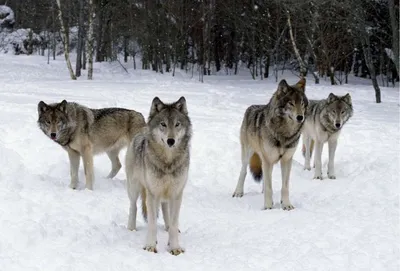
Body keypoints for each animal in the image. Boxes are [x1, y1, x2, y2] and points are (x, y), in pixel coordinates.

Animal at [126, 96, 193, 256]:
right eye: (163, 124)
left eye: (177, 124)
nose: (171, 140)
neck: (167, 162)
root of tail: (142, 130)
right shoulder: (153, 194)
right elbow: (152, 223)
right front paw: (150, 246)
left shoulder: (176, 193)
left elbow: (174, 224)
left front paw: (174, 247)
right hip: (135, 188)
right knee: (133, 206)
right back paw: (131, 228)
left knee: (165, 210)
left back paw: (167, 229)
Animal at [231, 77, 310, 211]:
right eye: (291, 103)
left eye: (302, 104)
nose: (300, 117)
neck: (284, 133)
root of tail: (250, 107)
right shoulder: (268, 159)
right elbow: (269, 187)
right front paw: (268, 206)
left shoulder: (286, 160)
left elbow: (285, 186)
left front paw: (286, 204)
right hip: (249, 154)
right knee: (243, 172)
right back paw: (238, 192)